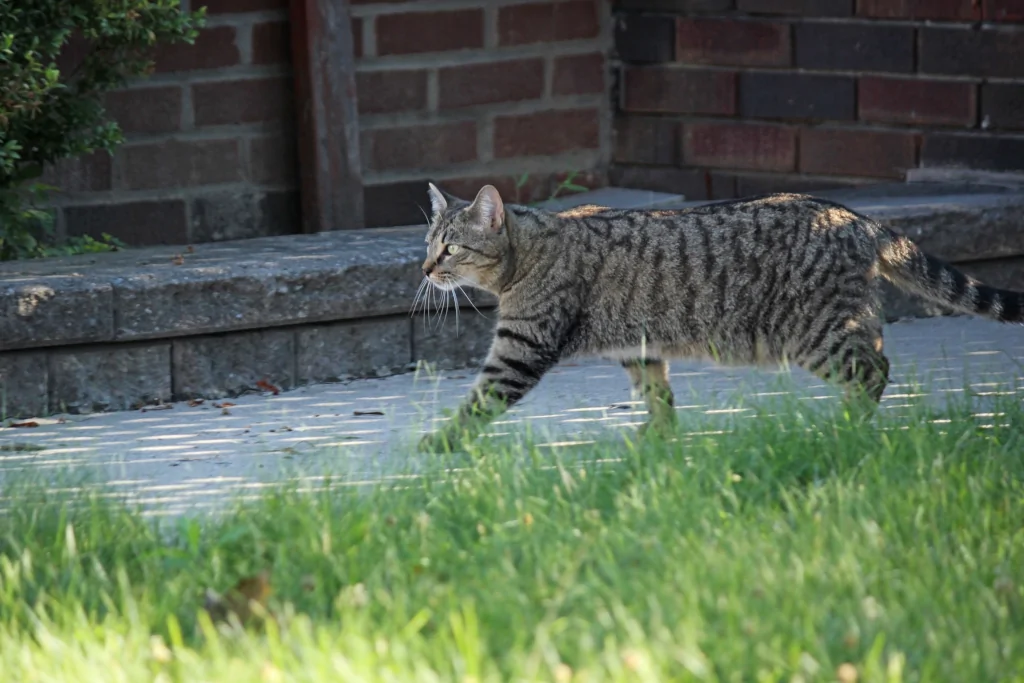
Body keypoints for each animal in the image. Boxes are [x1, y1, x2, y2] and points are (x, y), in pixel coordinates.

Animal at [415, 181, 1024, 450]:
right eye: (427, 243)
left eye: (451, 249)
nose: (423, 268)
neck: (530, 249)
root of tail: (855, 216)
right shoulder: (638, 346)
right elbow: (656, 393)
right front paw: (657, 436)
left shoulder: (522, 346)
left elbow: (478, 401)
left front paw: (438, 445)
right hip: (839, 321)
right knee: (875, 356)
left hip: (817, 330)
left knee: (875, 368)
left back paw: (846, 428)